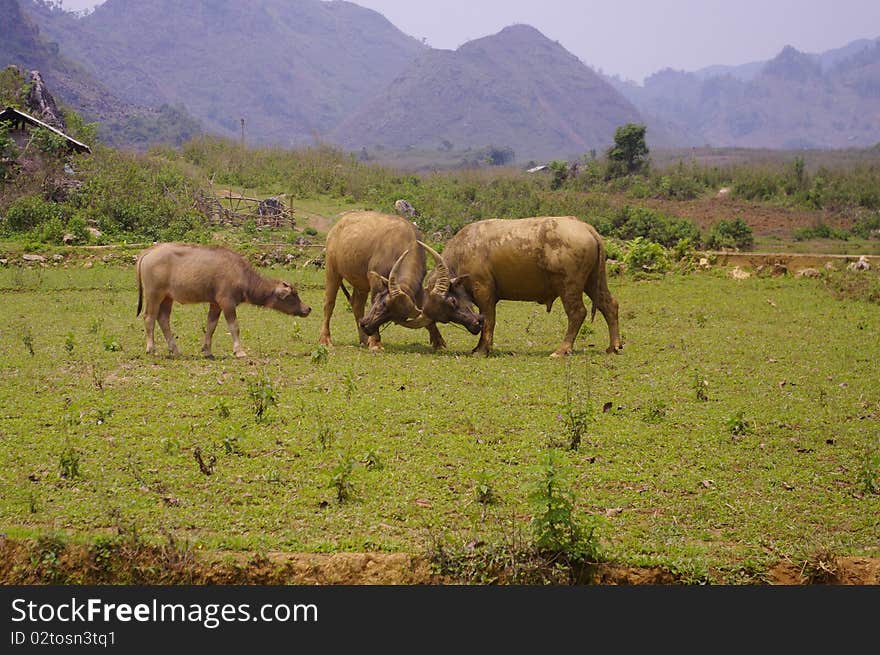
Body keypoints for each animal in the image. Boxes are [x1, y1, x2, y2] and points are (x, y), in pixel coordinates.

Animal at [138, 243, 312, 358]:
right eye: (293, 295)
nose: (308, 309)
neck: (241, 274)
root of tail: (149, 252)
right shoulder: (227, 302)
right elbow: (234, 327)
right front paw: (239, 351)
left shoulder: (215, 304)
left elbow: (211, 326)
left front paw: (207, 350)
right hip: (154, 294)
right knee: (149, 317)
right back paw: (151, 348)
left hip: (167, 298)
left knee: (163, 319)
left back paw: (175, 350)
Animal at [316, 213, 482, 352]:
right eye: (384, 304)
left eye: (396, 317)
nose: (366, 326)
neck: (402, 243)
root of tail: (338, 225)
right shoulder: (375, 281)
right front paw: (375, 343)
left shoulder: (418, 290)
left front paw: (439, 342)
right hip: (332, 271)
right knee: (328, 303)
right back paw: (326, 340)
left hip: (360, 284)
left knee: (357, 304)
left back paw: (363, 339)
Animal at [422, 218, 624, 356]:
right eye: (444, 317)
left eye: (452, 301)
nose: (474, 326)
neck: (464, 251)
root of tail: (586, 227)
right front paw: (478, 347)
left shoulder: (484, 291)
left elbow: (489, 319)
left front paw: (482, 350)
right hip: (593, 281)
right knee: (610, 305)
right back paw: (613, 346)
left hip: (569, 286)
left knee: (577, 313)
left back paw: (562, 350)